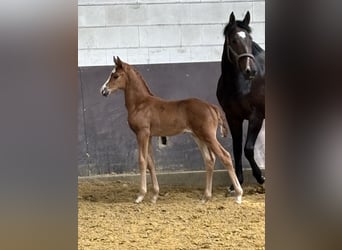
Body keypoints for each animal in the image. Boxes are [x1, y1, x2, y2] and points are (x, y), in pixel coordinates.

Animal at [99, 56, 243, 203]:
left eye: (115, 76)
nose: (103, 91)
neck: (140, 103)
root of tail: (212, 107)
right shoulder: (149, 136)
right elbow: (151, 162)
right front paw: (154, 195)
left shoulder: (142, 133)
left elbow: (142, 160)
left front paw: (140, 195)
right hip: (198, 136)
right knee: (209, 160)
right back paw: (205, 197)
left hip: (208, 136)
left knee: (225, 156)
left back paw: (238, 195)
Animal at [216, 10, 264, 190]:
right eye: (234, 40)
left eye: (249, 39)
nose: (250, 71)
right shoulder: (233, 117)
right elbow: (237, 148)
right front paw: (237, 183)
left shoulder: (256, 117)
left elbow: (248, 149)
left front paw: (260, 177)